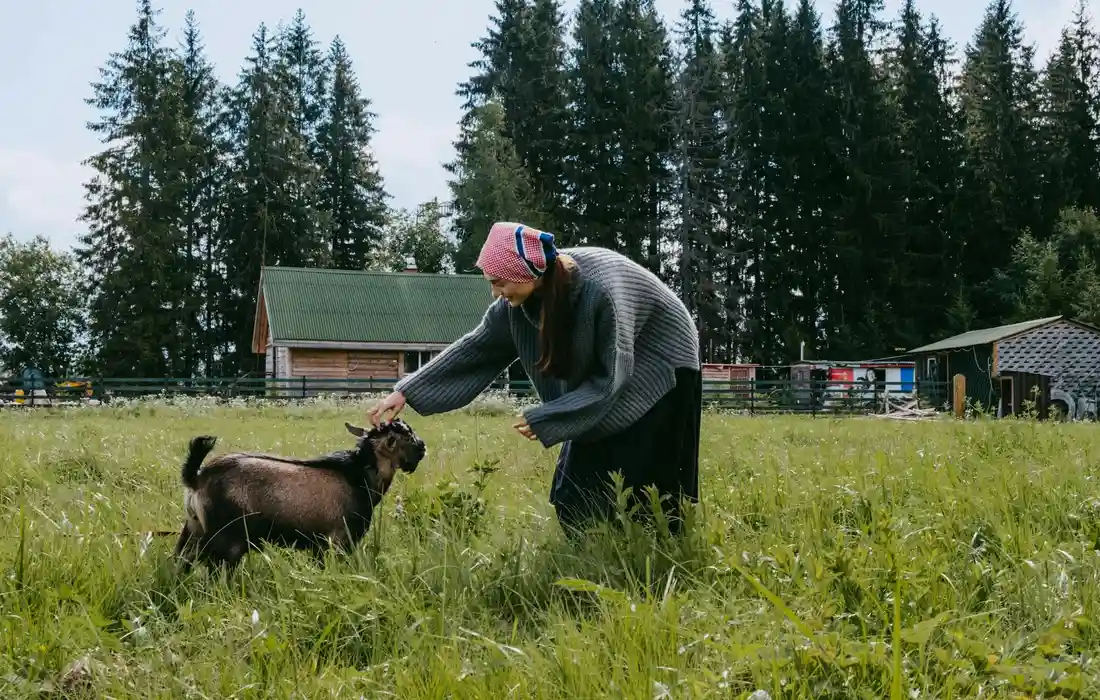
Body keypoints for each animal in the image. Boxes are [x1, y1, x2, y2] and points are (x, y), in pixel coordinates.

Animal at [173, 418, 426, 572]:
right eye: (408, 436)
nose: (423, 447)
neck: (358, 476)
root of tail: (197, 477)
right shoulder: (339, 541)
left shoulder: (318, 545)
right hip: (227, 540)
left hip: (193, 530)